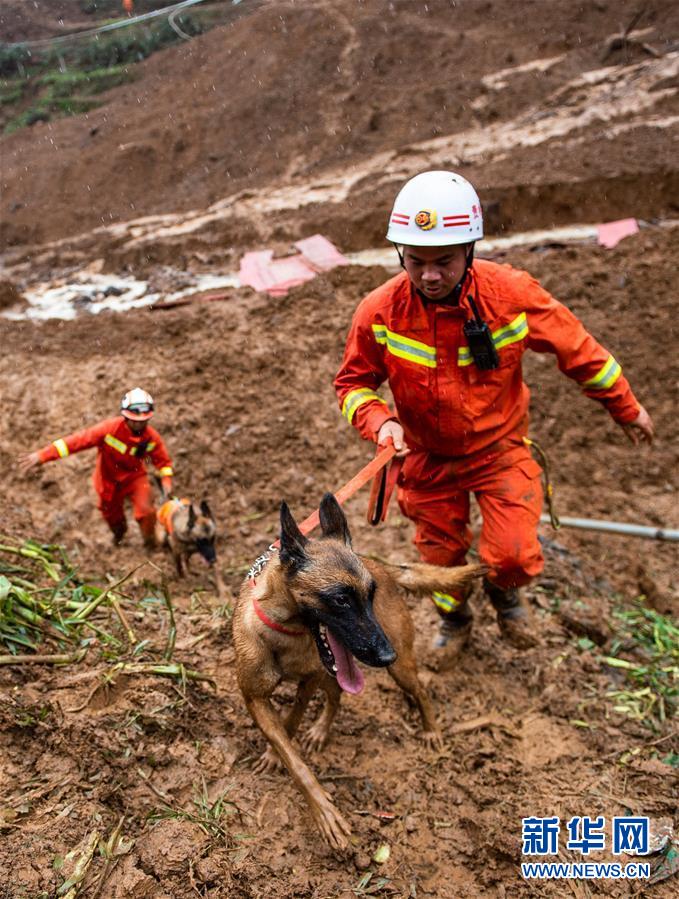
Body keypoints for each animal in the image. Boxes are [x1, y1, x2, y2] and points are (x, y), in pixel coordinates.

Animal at [232, 492, 484, 852]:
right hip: (341, 670)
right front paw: (317, 802)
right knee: (338, 694)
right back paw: (321, 730)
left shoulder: (308, 680)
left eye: (370, 595)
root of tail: (383, 566)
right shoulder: (256, 698)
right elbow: (291, 753)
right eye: (340, 599)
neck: (285, 632)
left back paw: (430, 729)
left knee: (419, 691)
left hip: (398, 669)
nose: (387, 654)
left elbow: (291, 723)